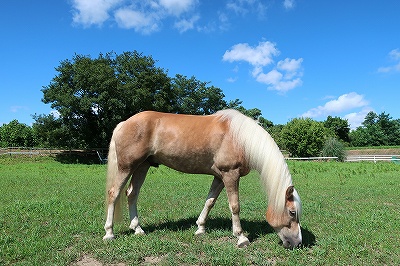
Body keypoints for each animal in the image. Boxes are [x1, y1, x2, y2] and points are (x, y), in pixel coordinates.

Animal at [101, 109, 302, 248]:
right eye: (292, 212)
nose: (298, 243)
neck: (241, 138)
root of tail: (124, 123)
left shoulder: (219, 177)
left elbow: (209, 201)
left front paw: (200, 228)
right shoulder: (230, 175)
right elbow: (235, 206)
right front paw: (241, 237)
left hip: (142, 166)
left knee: (132, 194)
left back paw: (138, 229)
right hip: (127, 167)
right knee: (114, 193)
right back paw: (109, 233)